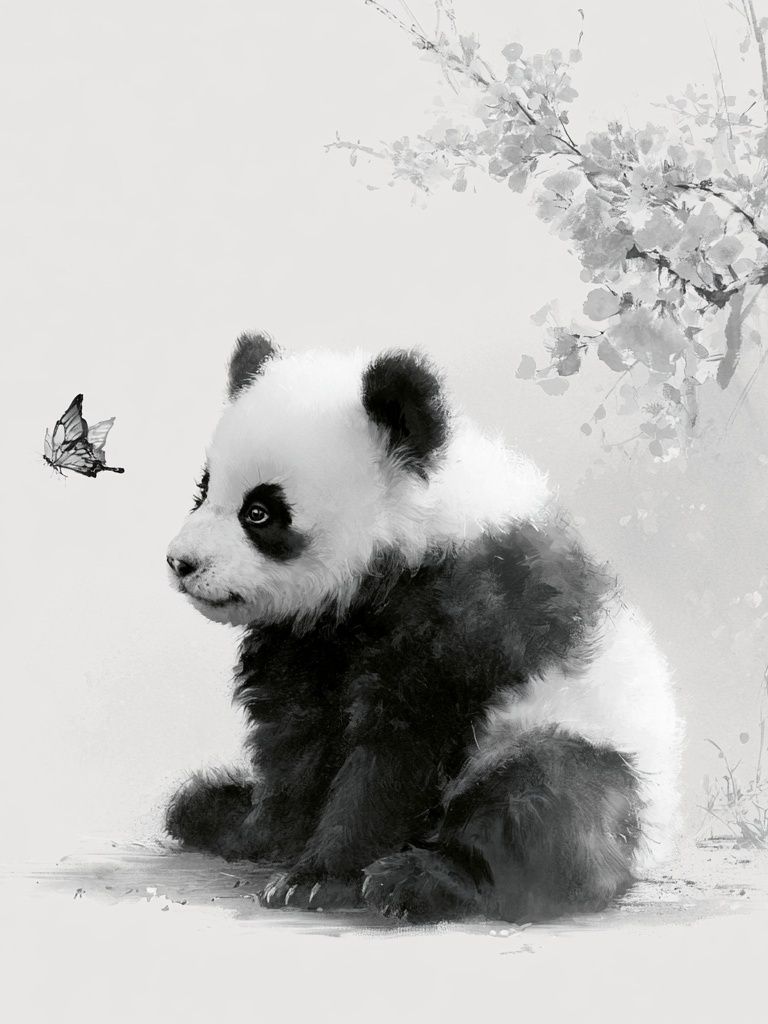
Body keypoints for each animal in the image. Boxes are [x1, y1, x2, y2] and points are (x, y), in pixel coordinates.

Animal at [165, 332, 683, 923]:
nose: (181, 562)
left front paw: (318, 878)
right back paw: (207, 805)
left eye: (260, 512)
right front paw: (266, 836)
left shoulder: (467, 611)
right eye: (204, 489)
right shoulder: (308, 641)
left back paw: (418, 881)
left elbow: (401, 747)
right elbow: (297, 739)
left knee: (541, 802)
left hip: (576, 742)